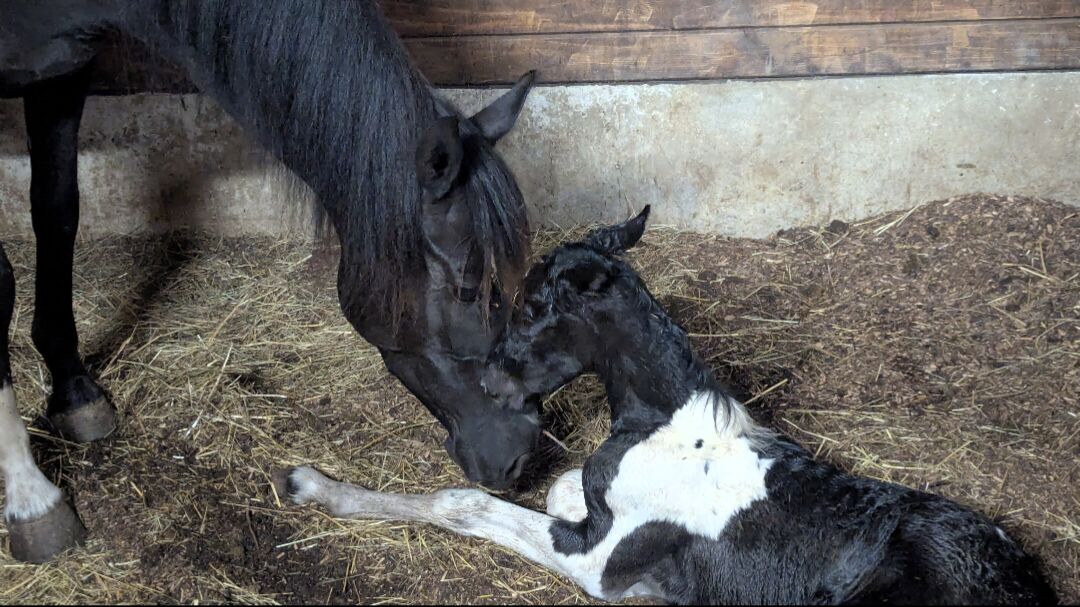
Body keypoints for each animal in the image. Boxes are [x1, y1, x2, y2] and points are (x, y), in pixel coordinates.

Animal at [1, 0, 541, 560]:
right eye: (468, 289)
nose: (525, 451)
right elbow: (2, 279)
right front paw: (31, 498)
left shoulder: (61, 72)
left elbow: (58, 214)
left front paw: (73, 391)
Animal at [277, 207, 1057, 605]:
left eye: (530, 309)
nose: (493, 384)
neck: (669, 430)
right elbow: (561, 487)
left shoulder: (601, 562)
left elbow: (461, 504)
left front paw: (311, 485)